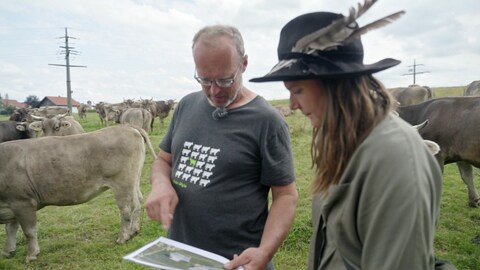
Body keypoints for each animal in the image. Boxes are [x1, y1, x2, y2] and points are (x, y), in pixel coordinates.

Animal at [0, 125, 157, 262]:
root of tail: (128, 127)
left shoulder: (22, 202)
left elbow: (29, 231)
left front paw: (31, 255)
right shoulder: (12, 204)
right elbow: (10, 229)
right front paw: (8, 250)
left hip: (122, 182)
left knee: (126, 209)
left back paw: (123, 237)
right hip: (134, 180)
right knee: (138, 202)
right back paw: (134, 230)